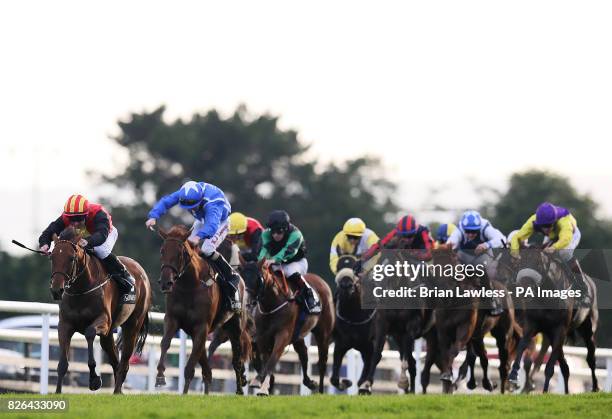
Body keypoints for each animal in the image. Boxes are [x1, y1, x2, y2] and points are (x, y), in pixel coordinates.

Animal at [49, 226, 152, 394]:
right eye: (52, 257)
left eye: (71, 258)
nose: (57, 290)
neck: (81, 290)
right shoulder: (64, 325)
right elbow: (62, 364)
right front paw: (57, 392)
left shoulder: (103, 321)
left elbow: (90, 333)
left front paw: (94, 379)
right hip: (108, 335)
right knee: (115, 360)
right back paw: (118, 391)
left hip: (132, 326)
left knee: (124, 362)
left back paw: (117, 390)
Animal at [155, 225, 251, 396]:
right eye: (162, 251)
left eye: (180, 253)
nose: (166, 283)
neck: (189, 286)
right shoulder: (173, 319)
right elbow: (165, 342)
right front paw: (160, 376)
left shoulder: (201, 326)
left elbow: (190, 367)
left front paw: (184, 394)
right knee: (207, 368)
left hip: (234, 327)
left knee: (236, 360)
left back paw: (240, 389)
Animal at [246, 260, 334, 396]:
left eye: (258, 279)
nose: (247, 301)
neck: (272, 304)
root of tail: (322, 281)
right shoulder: (262, 338)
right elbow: (263, 361)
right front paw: (264, 383)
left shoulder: (283, 336)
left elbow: (272, 359)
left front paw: (262, 385)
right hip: (298, 337)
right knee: (303, 353)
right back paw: (309, 382)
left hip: (323, 334)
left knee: (322, 362)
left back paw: (320, 391)